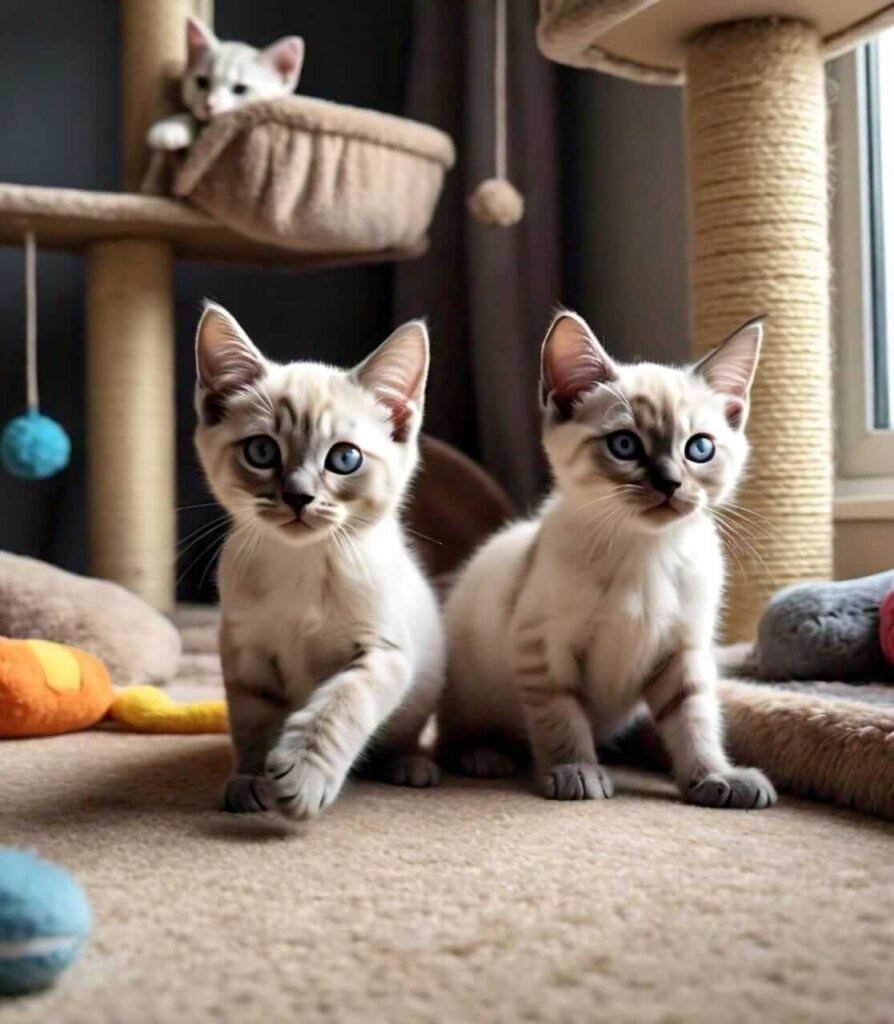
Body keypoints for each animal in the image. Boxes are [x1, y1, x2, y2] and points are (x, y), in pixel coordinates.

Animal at [196, 299, 446, 819]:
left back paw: (410, 765)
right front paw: (249, 780)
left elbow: (342, 703)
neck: (302, 565)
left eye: (345, 459)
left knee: (405, 733)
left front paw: (304, 774)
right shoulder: (245, 653)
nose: (298, 497)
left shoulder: (385, 651)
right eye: (261, 451)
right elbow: (252, 723)